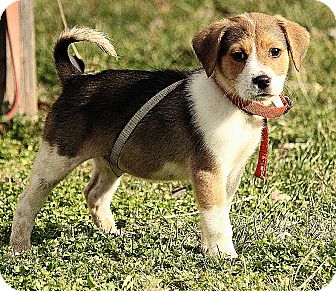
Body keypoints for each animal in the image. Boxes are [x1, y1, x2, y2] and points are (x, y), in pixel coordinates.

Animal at [10, 12, 310, 258]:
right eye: (238, 55)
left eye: (275, 51)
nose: (262, 81)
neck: (231, 101)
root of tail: (75, 79)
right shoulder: (208, 171)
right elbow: (216, 218)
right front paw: (223, 255)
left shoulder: (231, 173)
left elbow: (219, 214)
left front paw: (210, 249)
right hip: (56, 159)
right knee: (26, 202)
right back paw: (20, 248)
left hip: (111, 161)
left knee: (94, 194)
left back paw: (112, 235)